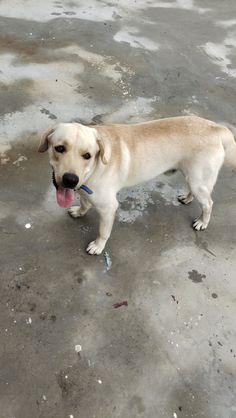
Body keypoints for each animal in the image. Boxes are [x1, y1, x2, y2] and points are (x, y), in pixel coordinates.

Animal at [38, 116, 236, 256]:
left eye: (87, 155)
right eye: (59, 148)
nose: (70, 179)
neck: (94, 168)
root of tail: (217, 128)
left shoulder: (109, 207)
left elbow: (103, 231)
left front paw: (98, 246)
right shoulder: (86, 191)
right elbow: (85, 202)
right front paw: (80, 211)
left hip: (198, 181)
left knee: (208, 203)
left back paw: (202, 222)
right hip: (193, 179)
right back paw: (187, 198)